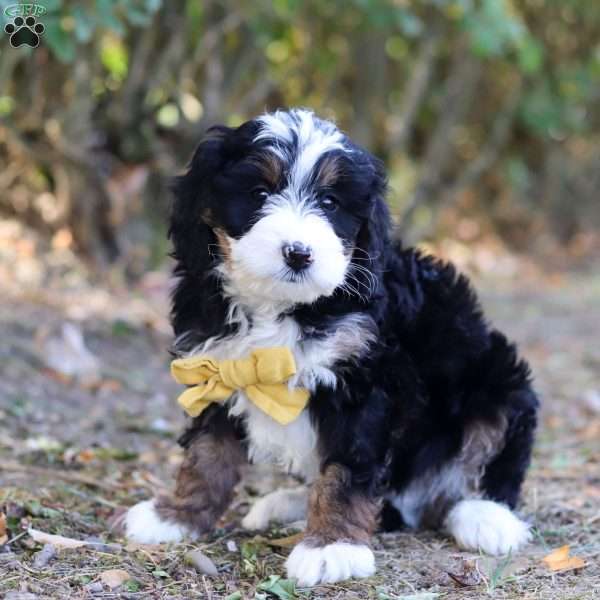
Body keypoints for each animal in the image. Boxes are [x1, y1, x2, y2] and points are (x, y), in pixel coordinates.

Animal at [124, 108, 536, 584]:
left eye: (330, 204)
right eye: (259, 193)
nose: (298, 253)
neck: (282, 308)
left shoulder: (365, 382)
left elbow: (346, 470)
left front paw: (332, 546)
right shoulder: (216, 368)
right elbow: (207, 455)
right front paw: (178, 515)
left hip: (496, 378)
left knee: (487, 460)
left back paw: (487, 517)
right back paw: (287, 505)